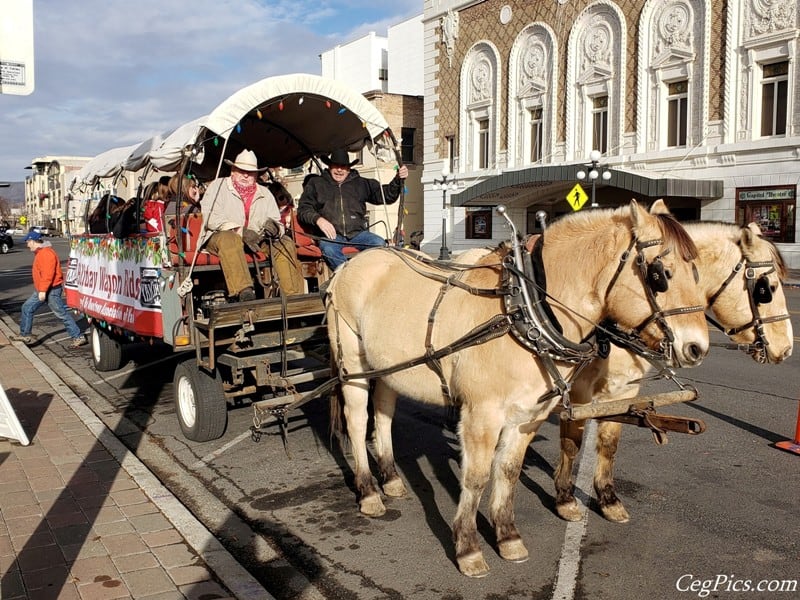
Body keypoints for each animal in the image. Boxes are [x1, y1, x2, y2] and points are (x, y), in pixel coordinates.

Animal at [322, 199, 708, 576]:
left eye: (698, 273)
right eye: (661, 275)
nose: (697, 348)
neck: (525, 310)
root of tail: (350, 265)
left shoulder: (528, 415)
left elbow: (507, 471)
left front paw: (507, 536)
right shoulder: (481, 415)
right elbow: (476, 477)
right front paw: (468, 547)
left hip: (390, 367)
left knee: (383, 414)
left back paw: (390, 479)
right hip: (353, 364)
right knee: (357, 420)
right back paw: (369, 492)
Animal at [556, 223, 792, 524]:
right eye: (767, 289)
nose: (787, 348)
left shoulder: (623, 389)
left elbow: (609, 443)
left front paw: (609, 499)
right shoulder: (577, 391)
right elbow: (571, 443)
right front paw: (564, 498)